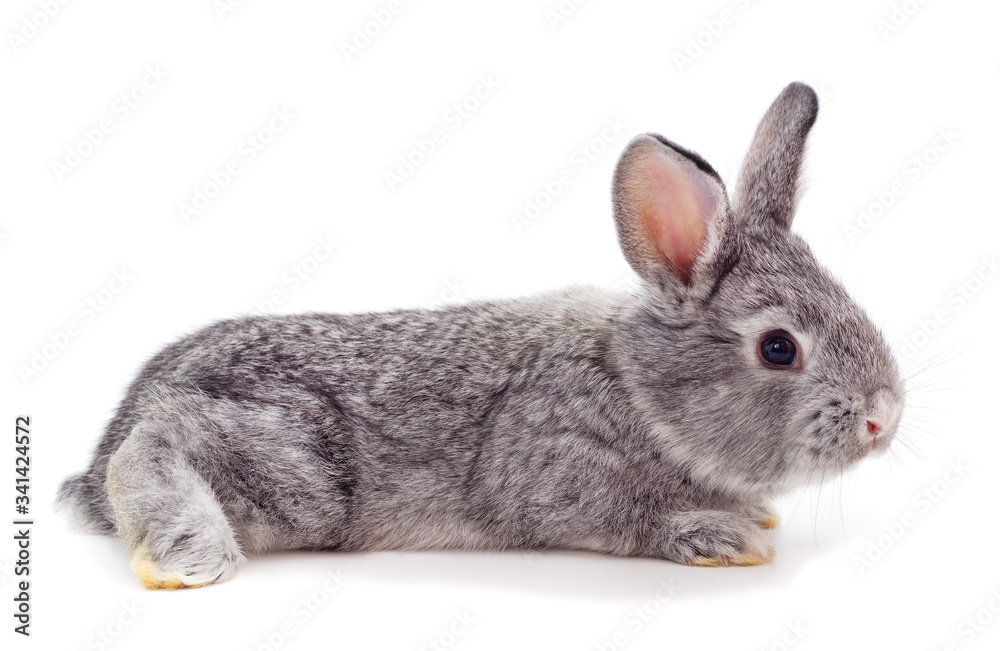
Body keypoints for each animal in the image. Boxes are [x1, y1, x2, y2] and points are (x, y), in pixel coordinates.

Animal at [56, 82, 904, 589]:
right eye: (777, 348)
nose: (884, 417)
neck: (641, 388)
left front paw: (751, 516)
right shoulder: (559, 469)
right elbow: (627, 514)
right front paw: (722, 535)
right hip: (295, 469)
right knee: (157, 448)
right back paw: (190, 550)